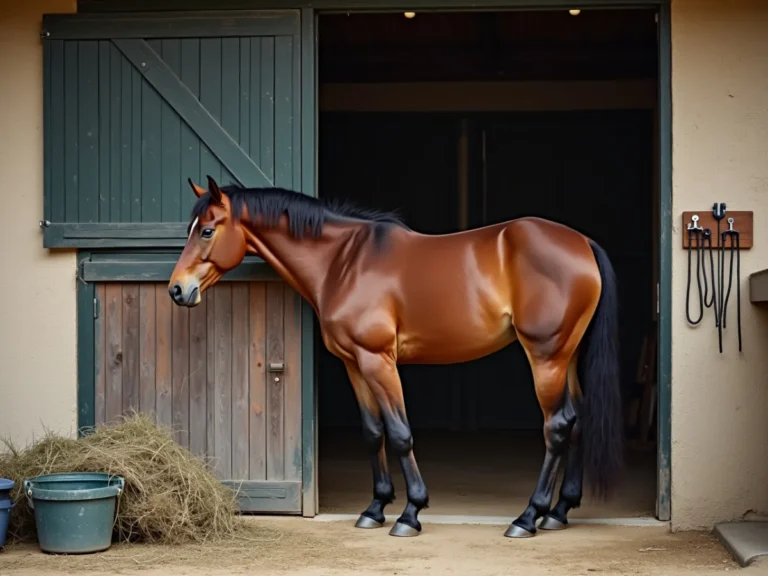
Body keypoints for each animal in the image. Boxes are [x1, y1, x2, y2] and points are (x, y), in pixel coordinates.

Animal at [168, 175, 623, 539]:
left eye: (206, 230)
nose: (177, 289)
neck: (344, 262)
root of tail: (581, 243)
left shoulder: (378, 360)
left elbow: (400, 433)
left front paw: (410, 513)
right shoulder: (354, 363)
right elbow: (374, 433)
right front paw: (374, 509)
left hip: (545, 356)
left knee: (557, 425)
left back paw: (528, 517)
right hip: (566, 356)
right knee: (577, 419)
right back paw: (558, 512)